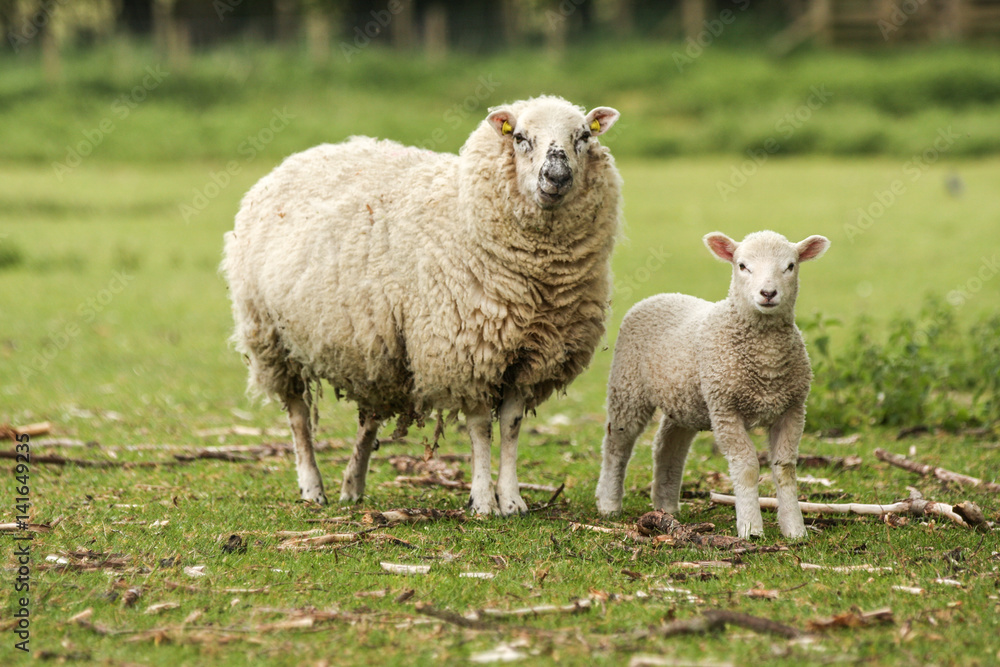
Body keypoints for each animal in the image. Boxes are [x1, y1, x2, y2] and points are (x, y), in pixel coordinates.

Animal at [222, 95, 622, 516]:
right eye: (520, 138)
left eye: (583, 136)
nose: (557, 177)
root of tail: (299, 156)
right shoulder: (466, 350)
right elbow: (480, 428)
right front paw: (483, 501)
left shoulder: (530, 356)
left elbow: (511, 426)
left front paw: (512, 499)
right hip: (270, 338)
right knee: (298, 416)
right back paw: (312, 488)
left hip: (376, 350)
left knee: (368, 419)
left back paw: (352, 485)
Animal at [595, 230, 830, 539]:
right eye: (742, 265)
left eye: (790, 266)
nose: (768, 293)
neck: (766, 359)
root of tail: (662, 294)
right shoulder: (725, 408)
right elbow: (747, 467)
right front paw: (751, 528)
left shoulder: (793, 408)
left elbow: (785, 468)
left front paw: (795, 529)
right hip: (627, 385)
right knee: (617, 443)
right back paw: (609, 503)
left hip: (685, 400)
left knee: (668, 445)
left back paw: (666, 506)